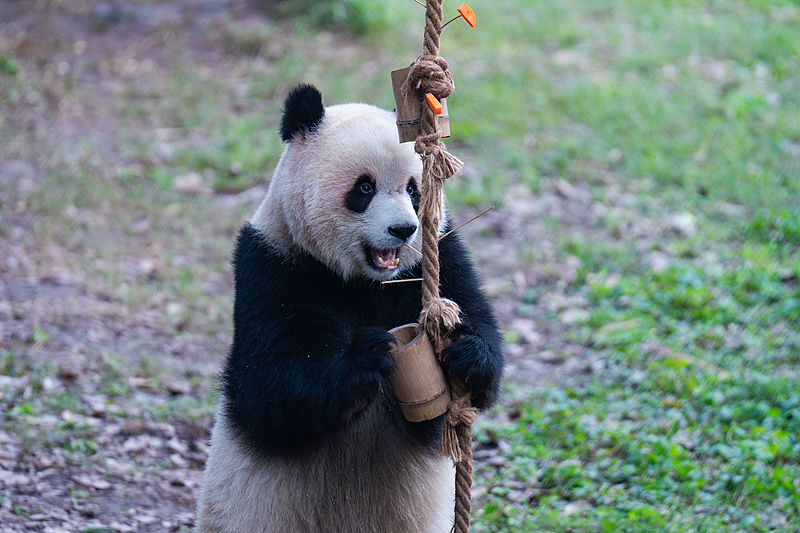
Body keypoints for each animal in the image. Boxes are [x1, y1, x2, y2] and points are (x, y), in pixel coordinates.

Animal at [196, 84, 504, 532]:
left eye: (414, 189)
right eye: (364, 188)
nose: (403, 230)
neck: (362, 283)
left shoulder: (439, 255)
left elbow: (476, 327)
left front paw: (465, 350)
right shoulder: (272, 265)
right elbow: (272, 389)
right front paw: (366, 355)